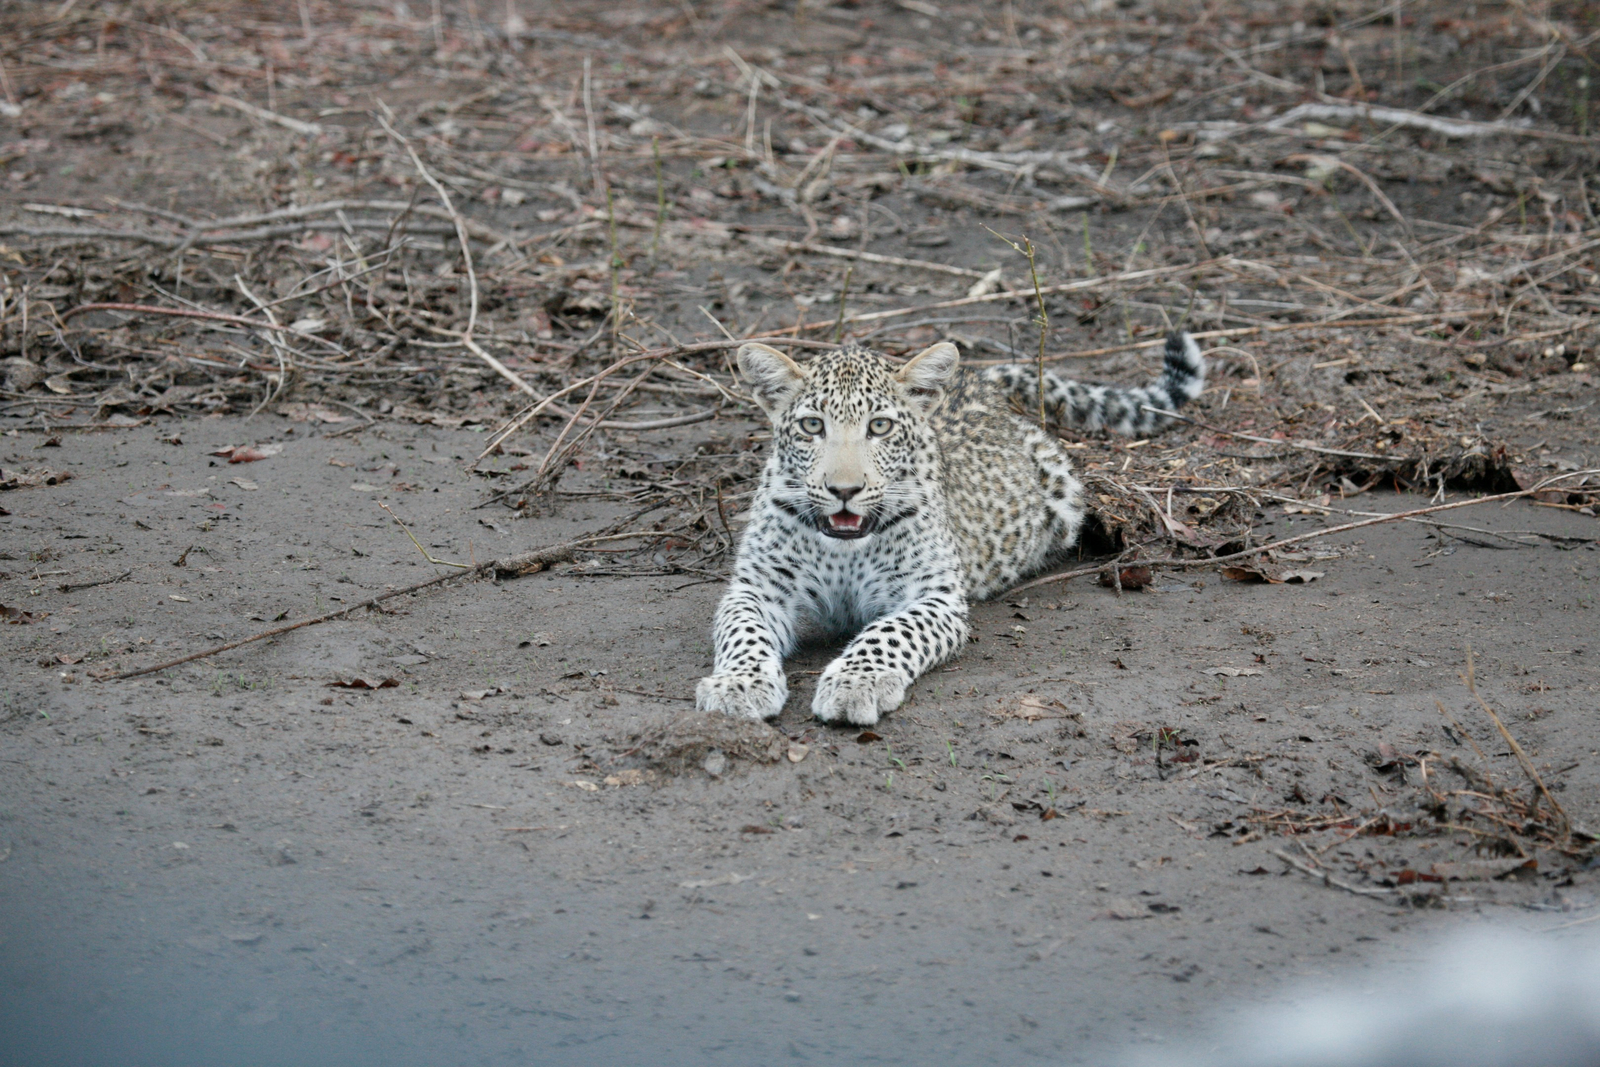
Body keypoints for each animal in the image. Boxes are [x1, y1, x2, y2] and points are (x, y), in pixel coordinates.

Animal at [695, 330, 1206, 726]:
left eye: (879, 427)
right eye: (811, 426)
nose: (844, 489)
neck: (844, 548)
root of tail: (975, 378)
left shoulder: (933, 596)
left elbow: (890, 633)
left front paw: (856, 682)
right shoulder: (756, 588)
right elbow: (743, 633)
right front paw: (738, 685)